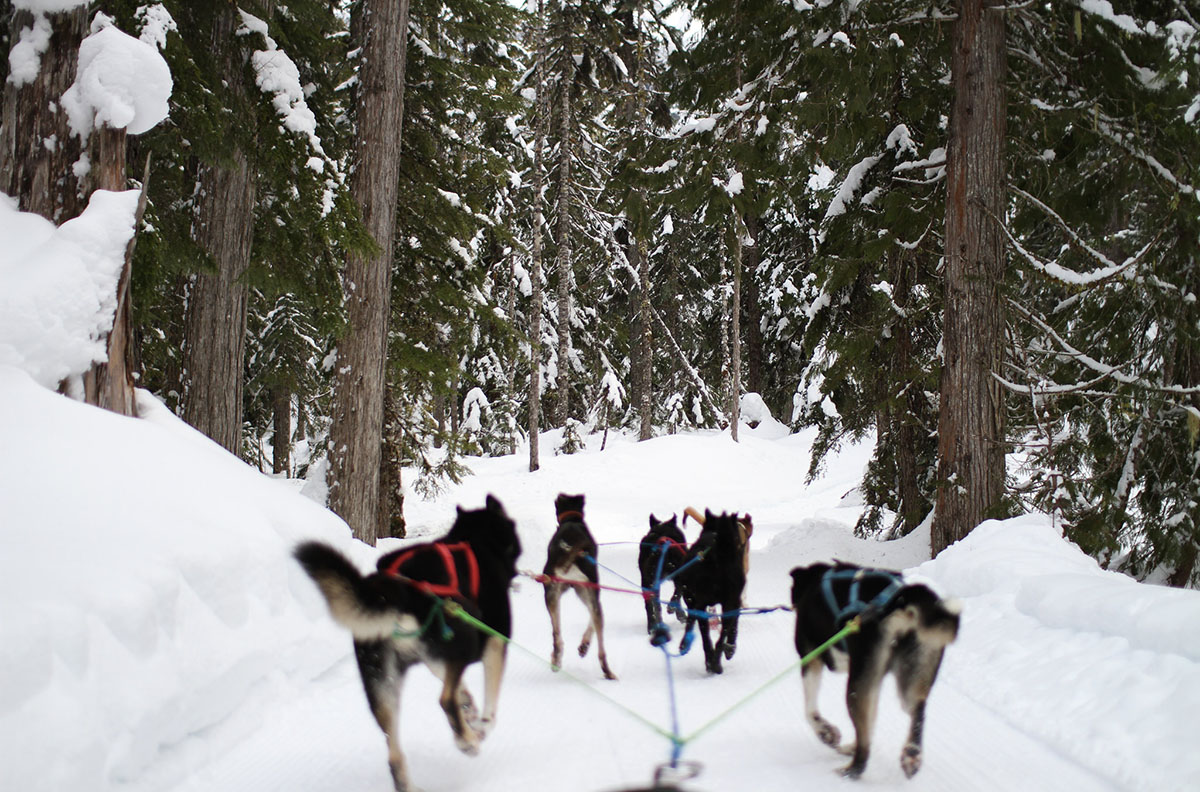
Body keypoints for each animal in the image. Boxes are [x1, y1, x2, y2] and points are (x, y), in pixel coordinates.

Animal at [294, 494, 520, 792]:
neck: (475, 540)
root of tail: (402, 593)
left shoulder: (435, 657)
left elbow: (455, 682)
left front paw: (468, 707)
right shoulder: (495, 638)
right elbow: (490, 702)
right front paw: (481, 724)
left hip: (382, 685)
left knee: (394, 753)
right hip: (466, 640)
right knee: (445, 699)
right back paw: (467, 741)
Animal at [544, 492, 619, 676]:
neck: (572, 519)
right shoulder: (591, 594)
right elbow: (591, 622)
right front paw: (584, 644)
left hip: (552, 597)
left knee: (556, 636)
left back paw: (556, 660)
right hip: (588, 592)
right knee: (600, 648)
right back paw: (607, 671)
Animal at [792, 564, 960, 777]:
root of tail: (902, 600)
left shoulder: (811, 658)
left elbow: (810, 710)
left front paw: (826, 732)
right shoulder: (873, 679)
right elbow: (871, 720)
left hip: (855, 686)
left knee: (864, 749)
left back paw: (850, 770)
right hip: (911, 677)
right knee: (917, 710)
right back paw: (911, 754)